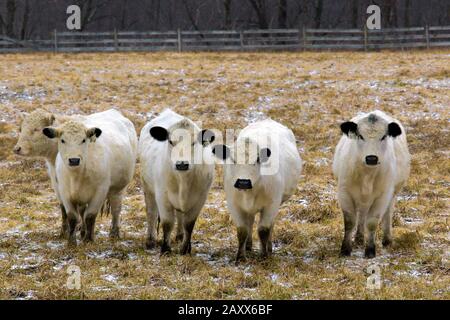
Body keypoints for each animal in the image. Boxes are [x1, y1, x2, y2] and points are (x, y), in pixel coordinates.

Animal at [42, 109, 137, 246]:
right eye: (63, 140)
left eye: (83, 140)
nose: (74, 160)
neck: (77, 175)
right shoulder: (64, 192)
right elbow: (72, 217)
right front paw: (72, 242)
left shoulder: (100, 192)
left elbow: (90, 216)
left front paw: (88, 240)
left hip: (119, 188)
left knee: (116, 209)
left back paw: (114, 233)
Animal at [139, 110, 216, 255]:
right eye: (170, 141)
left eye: (193, 143)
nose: (181, 164)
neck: (183, 181)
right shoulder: (163, 197)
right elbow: (167, 223)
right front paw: (166, 249)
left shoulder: (200, 199)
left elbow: (189, 224)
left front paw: (185, 249)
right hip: (147, 186)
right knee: (151, 212)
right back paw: (150, 240)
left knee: (180, 216)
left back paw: (180, 236)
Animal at [211, 119, 302, 262]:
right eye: (233, 159)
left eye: (258, 159)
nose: (243, 182)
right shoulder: (234, 204)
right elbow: (242, 230)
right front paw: (240, 257)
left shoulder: (271, 204)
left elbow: (264, 230)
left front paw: (264, 256)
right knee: (250, 221)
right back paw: (248, 246)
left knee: (270, 225)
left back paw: (269, 248)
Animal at [330, 110, 412, 258]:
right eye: (360, 136)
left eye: (384, 136)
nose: (371, 158)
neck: (367, 175)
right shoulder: (344, 193)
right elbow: (349, 222)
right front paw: (345, 249)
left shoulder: (383, 196)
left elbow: (372, 222)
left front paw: (370, 250)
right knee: (362, 213)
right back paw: (359, 237)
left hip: (392, 194)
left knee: (387, 213)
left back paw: (387, 240)